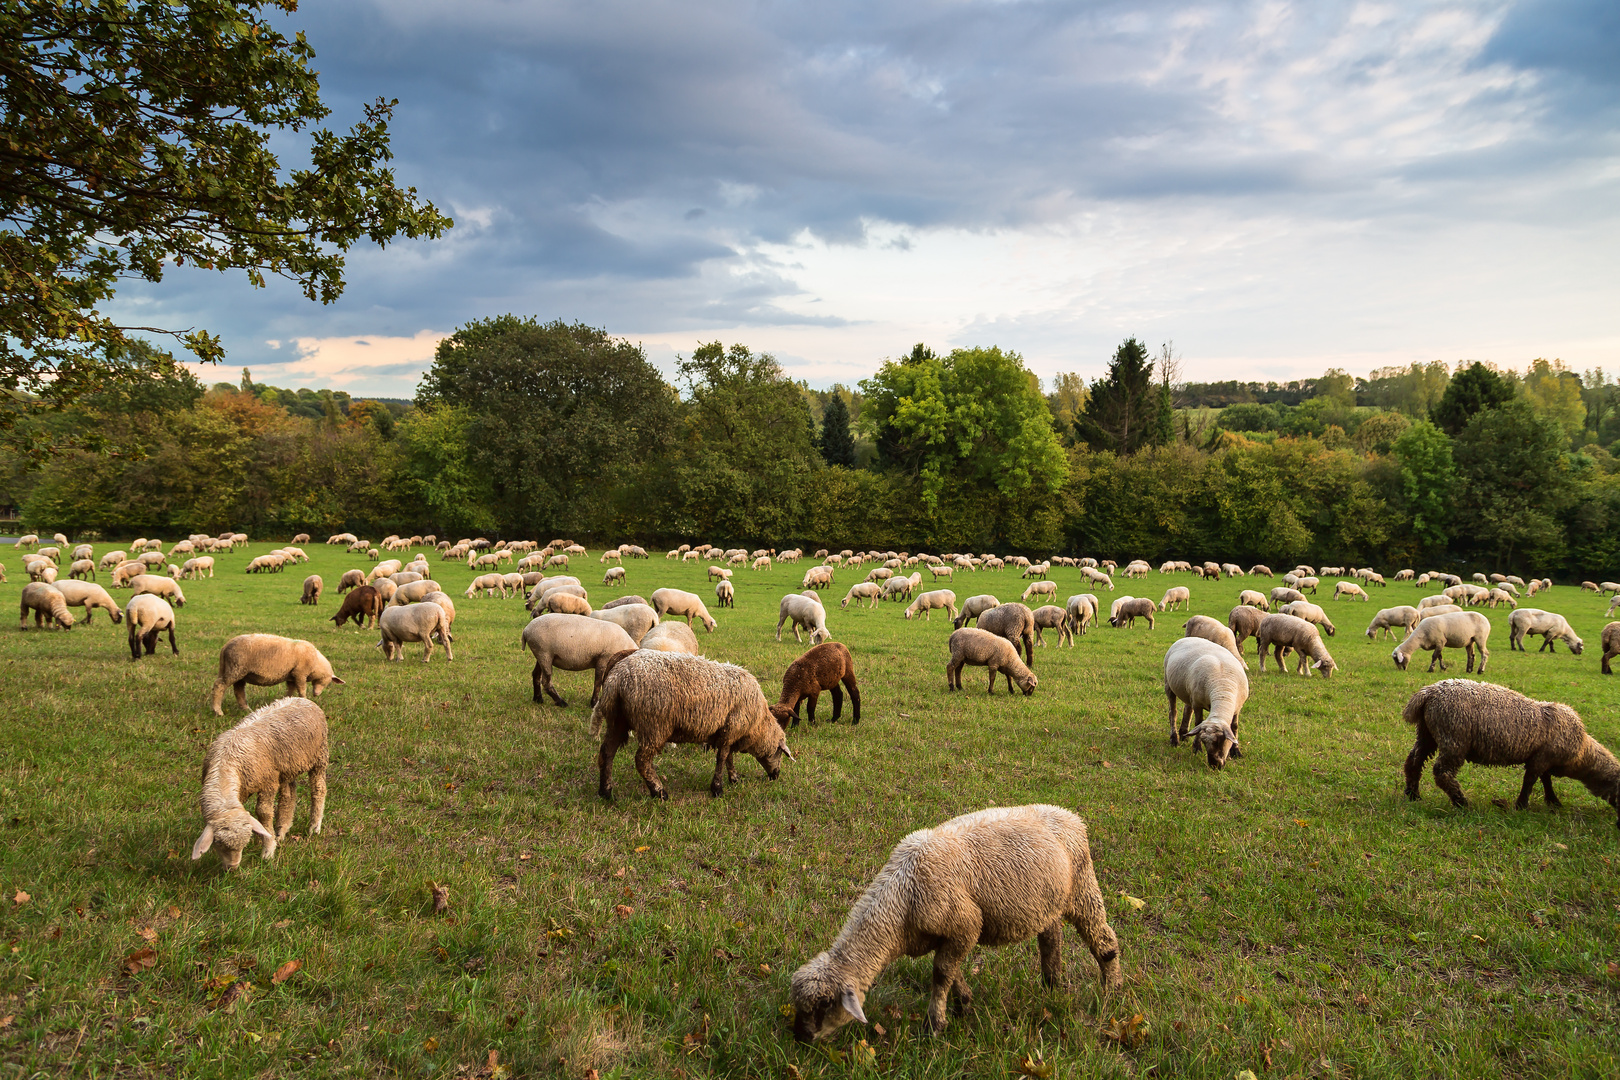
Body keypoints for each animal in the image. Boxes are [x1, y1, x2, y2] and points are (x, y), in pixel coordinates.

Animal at [188, 696, 325, 874]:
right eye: (218, 844)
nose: (232, 868)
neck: (226, 763)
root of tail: (302, 699)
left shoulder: (268, 782)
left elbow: (263, 813)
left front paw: (268, 850)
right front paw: (271, 838)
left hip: (319, 756)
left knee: (318, 789)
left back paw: (314, 827)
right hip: (287, 767)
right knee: (289, 795)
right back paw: (282, 830)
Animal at [208, 634, 345, 718]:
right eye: (324, 682)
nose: (316, 694)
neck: (316, 663)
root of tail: (225, 646)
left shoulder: (291, 677)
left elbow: (290, 691)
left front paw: (285, 703)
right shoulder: (300, 674)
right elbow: (302, 690)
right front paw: (305, 700)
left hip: (239, 672)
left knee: (239, 690)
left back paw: (246, 709)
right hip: (235, 668)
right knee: (219, 686)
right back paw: (218, 711)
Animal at [790, 803, 1121, 1036]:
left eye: (823, 1005)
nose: (800, 1039)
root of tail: (1071, 816)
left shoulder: (967, 925)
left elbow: (941, 972)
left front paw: (935, 1024)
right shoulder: (945, 935)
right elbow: (950, 971)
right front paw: (964, 1003)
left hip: (1082, 888)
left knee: (1104, 941)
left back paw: (1112, 992)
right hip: (1049, 901)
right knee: (1051, 940)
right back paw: (1052, 985)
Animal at [1166, 637, 1250, 773]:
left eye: (1221, 741)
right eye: (1204, 742)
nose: (1214, 765)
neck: (1222, 691)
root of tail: (1188, 637)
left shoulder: (1237, 708)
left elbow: (1234, 727)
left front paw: (1236, 752)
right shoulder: (1198, 704)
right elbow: (1198, 722)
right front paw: (1196, 748)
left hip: (1188, 693)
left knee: (1187, 709)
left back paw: (1184, 734)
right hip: (1168, 685)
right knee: (1173, 713)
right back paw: (1175, 739)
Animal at [1399, 680, 1613, 822]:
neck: (1582, 750)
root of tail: (1428, 693)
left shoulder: (1541, 757)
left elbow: (1545, 780)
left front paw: (1553, 801)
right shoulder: (1542, 758)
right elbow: (1531, 781)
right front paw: (1522, 806)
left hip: (1428, 733)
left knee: (1414, 760)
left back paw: (1413, 794)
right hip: (1454, 738)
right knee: (1442, 772)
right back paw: (1461, 802)